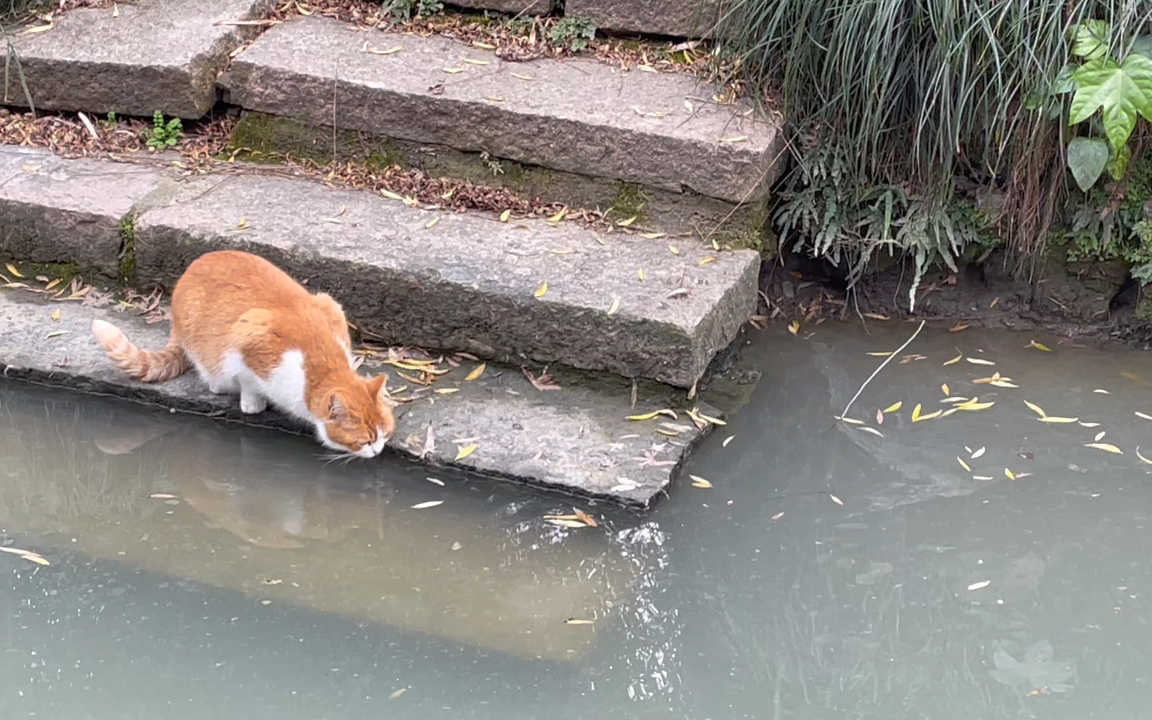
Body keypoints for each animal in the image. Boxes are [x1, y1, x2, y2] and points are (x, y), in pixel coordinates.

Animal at [89, 249, 396, 458]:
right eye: (366, 441)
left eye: (386, 433)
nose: (379, 450)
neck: (319, 365)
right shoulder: (246, 342)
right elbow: (248, 382)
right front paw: (253, 402)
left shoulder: (330, 306)